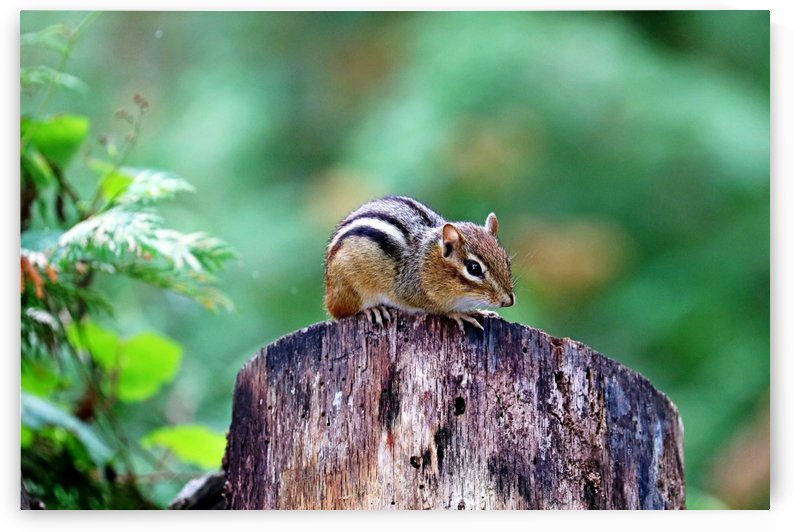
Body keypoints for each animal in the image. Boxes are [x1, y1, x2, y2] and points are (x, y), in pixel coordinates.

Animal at [324, 195, 515, 332]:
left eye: (506, 260)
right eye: (473, 268)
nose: (508, 301)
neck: (426, 258)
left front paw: (482, 311)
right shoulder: (411, 292)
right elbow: (438, 309)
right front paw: (458, 313)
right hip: (349, 289)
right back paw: (371, 310)